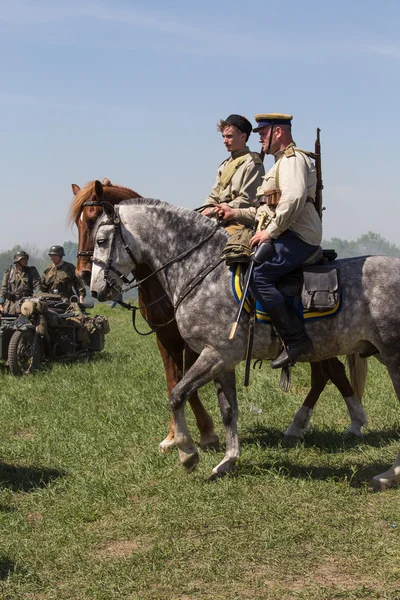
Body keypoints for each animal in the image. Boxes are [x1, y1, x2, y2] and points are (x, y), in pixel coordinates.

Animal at [66, 178, 368, 446]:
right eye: (78, 223)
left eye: (94, 223)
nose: (87, 279)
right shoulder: (166, 339)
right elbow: (173, 381)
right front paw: (174, 436)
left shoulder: (200, 345)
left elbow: (187, 384)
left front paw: (205, 433)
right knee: (327, 373)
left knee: (330, 371)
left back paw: (346, 422)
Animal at [90, 199, 400, 490]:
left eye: (101, 241)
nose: (95, 290)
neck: (203, 271)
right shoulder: (223, 361)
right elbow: (228, 410)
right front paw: (228, 460)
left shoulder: (214, 354)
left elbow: (177, 394)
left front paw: (187, 453)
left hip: (392, 357)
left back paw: (388, 473)